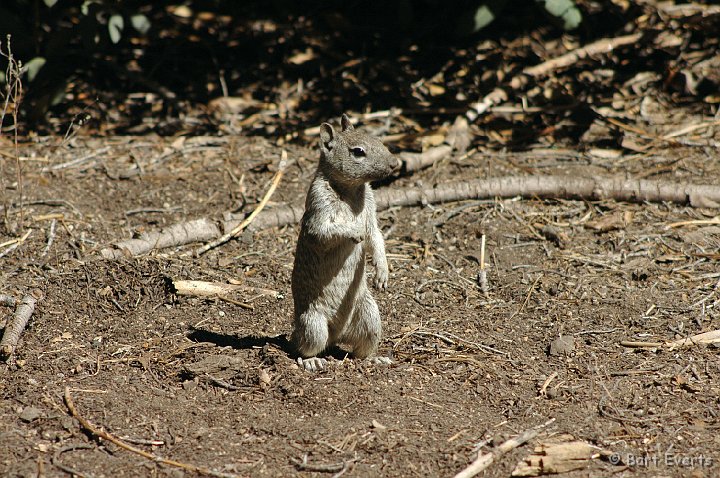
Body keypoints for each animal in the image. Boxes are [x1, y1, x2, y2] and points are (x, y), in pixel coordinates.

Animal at [290, 114, 400, 372]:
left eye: (377, 139)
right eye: (358, 151)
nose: (395, 163)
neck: (351, 189)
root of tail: (337, 335)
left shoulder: (371, 209)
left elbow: (376, 236)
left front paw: (382, 271)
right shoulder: (319, 205)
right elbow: (324, 231)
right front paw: (353, 230)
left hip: (370, 318)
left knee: (361, 350)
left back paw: (374, 358)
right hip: (313, 325)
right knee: (303, 347)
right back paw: (311, 360)